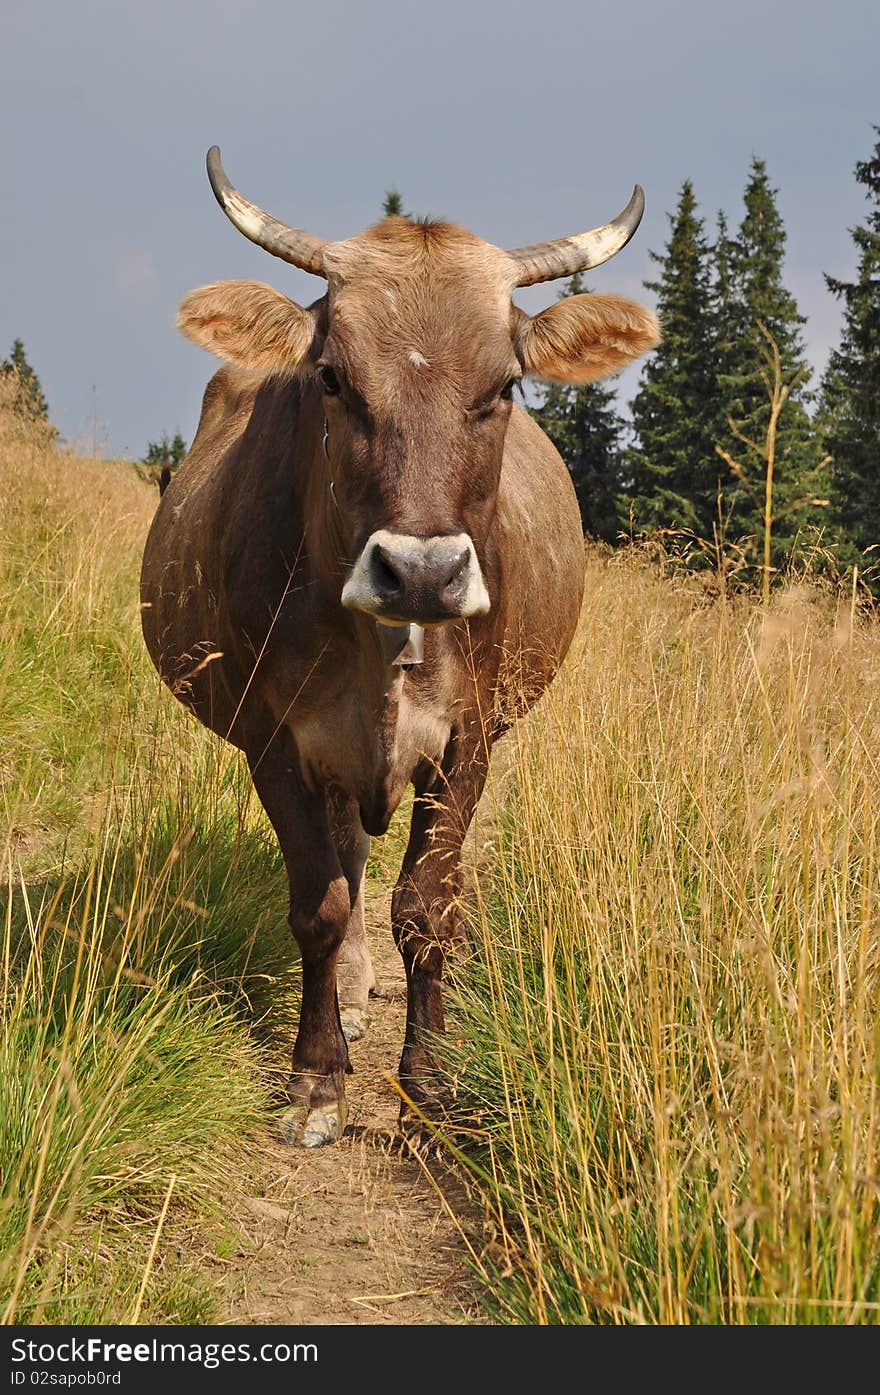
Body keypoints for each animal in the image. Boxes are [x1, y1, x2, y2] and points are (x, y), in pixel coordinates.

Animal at [139, 149, 661, 1143]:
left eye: (504, 387)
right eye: (333, 378)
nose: (422, 570)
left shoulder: (471, 737)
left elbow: (426, 907)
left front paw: (428, 1080)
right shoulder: (274, 737)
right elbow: (318, 902)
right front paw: (316, 1076)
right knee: (345, 861)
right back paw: (345, 996)